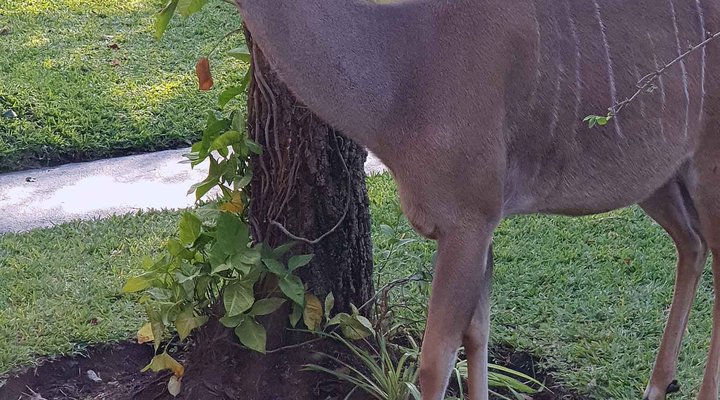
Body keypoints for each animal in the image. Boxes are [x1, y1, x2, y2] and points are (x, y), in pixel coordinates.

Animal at [235, 0, 720, 398]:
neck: (399, 86)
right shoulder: (482, 222)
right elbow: (477, 334)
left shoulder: (470, 214)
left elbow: (436, 361)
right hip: (658, 176)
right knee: (693, 244)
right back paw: (658, 385)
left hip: (707, 164)